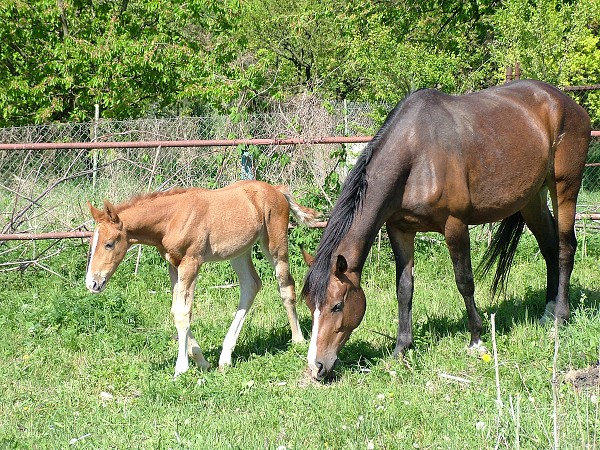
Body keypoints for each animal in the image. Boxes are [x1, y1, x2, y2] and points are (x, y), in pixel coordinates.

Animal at [85, 179, 322, 376]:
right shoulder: (174, 264)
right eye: (92, 243)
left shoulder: (191, 263)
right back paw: (225, 357)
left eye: (109, 244)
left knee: (285, 285)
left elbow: (183, 313)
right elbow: (177, 310)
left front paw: (181, 368)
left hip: (275, 244)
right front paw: (202, 362)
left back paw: (298, 339)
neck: (172, 218)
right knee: (251, 285)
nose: (92, 283)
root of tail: (276, 189)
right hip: (239, 251)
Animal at [302, 79, 592, 378]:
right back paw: (547, 312)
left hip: (565, 187)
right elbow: (404, 289)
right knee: (549, 248)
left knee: (565, 248)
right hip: (532, 199)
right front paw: (401, 349)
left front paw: (476, 339)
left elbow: (465, 282)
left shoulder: (455, 225)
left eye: (337, 305)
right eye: (310, 305)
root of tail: (566, 103)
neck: (416, 154)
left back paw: (560, 317)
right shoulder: (399, 229)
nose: (317, 366)